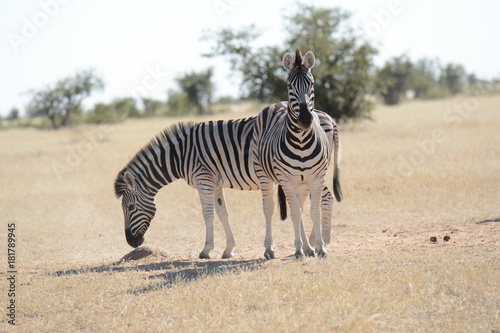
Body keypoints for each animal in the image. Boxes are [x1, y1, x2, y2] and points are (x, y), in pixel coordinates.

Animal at [114, 115, 338, 258]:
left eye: (131, 208)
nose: (132, 243)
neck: (181, 155)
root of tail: (329, 118)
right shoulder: (215, 184)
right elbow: (222, 213)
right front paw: (229, 249)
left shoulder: (203, 180)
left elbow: (208, 215)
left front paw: (206, 250)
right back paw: (313, 243)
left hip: (311, 172)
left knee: (326, 197)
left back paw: (322, 240)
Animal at [252, 49, 342, 258]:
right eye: (289, 85)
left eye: (312, 83)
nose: (306, 119)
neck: (301, 141)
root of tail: (277, 103)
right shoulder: (286, 180)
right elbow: (294, 214)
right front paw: (299, 250)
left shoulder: (316, 177)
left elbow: (313, 212)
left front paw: (320, 248)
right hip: (265, 175)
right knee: (268, 208)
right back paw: (270, 249)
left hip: (302, 182)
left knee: (302, 206)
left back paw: (309, 247)